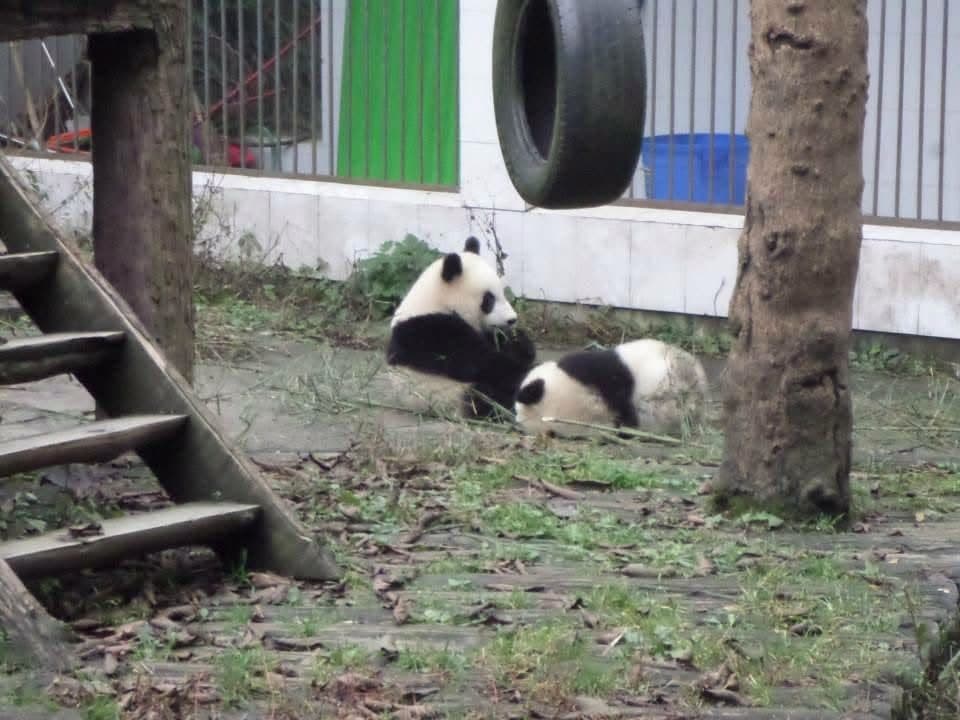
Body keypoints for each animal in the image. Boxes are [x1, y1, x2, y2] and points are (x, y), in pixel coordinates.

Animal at [385, 236, 537, 421]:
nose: (512, 319)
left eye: (502, 292)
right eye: (489, 300)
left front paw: (519, 342)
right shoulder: (429, 331)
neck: (436, 301)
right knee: (487, 397)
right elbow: (478, 361)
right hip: (451, 394)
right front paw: (523, 369)